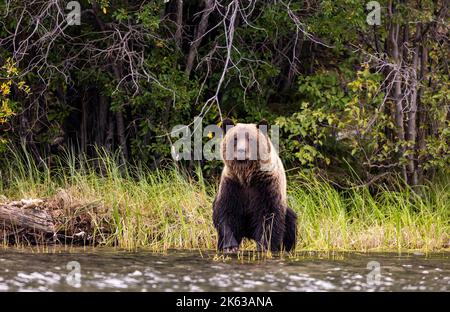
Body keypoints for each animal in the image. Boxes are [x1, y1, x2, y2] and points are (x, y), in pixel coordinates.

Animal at [213, 118, 298, 252]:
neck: (247, 176)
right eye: (235, 138)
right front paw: (230, 246)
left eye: (250, 138)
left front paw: (264, 246)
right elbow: (226, 213)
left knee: (290, 223)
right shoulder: (232, 185)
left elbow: (269, 217)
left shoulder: (267, 186)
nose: (241, 151)